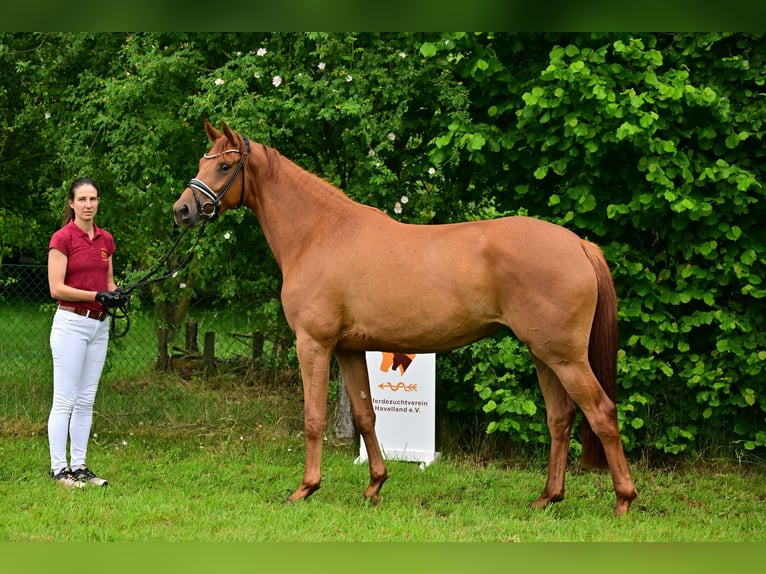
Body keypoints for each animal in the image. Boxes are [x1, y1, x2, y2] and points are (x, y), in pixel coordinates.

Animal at [176, 121, 640, 516]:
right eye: (201, 161)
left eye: (223, 165)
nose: (183, 210)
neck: (320, 233)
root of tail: (579, 245)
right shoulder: (348, 350)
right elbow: (366, 415)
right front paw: (375, 485)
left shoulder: (313, 344)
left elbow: (313, 419)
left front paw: (305, 489)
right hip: (545, 354)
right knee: (560, 419)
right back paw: (548, 497)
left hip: (565, 357)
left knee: (602, 413)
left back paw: (623, 500)